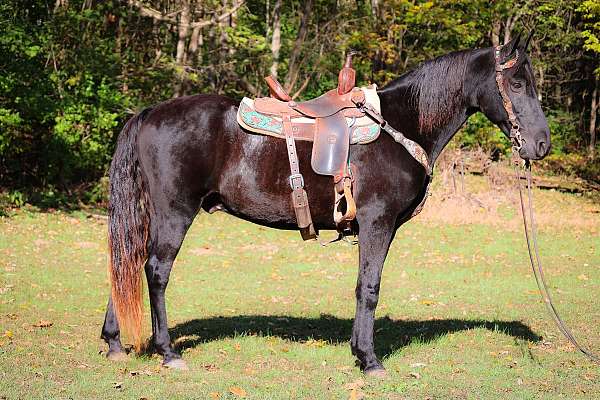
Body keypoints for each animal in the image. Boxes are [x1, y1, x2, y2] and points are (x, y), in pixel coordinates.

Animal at [102, 34, 548, 376]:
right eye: (517, 83)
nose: (541, 144)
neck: (401, 125)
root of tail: (150, 112)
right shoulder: (377, 222)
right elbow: (368, 287)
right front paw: (368, 359)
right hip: (174, 213)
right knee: (155, 271)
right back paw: (167, 352)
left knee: (127, 264)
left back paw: (114, 342)